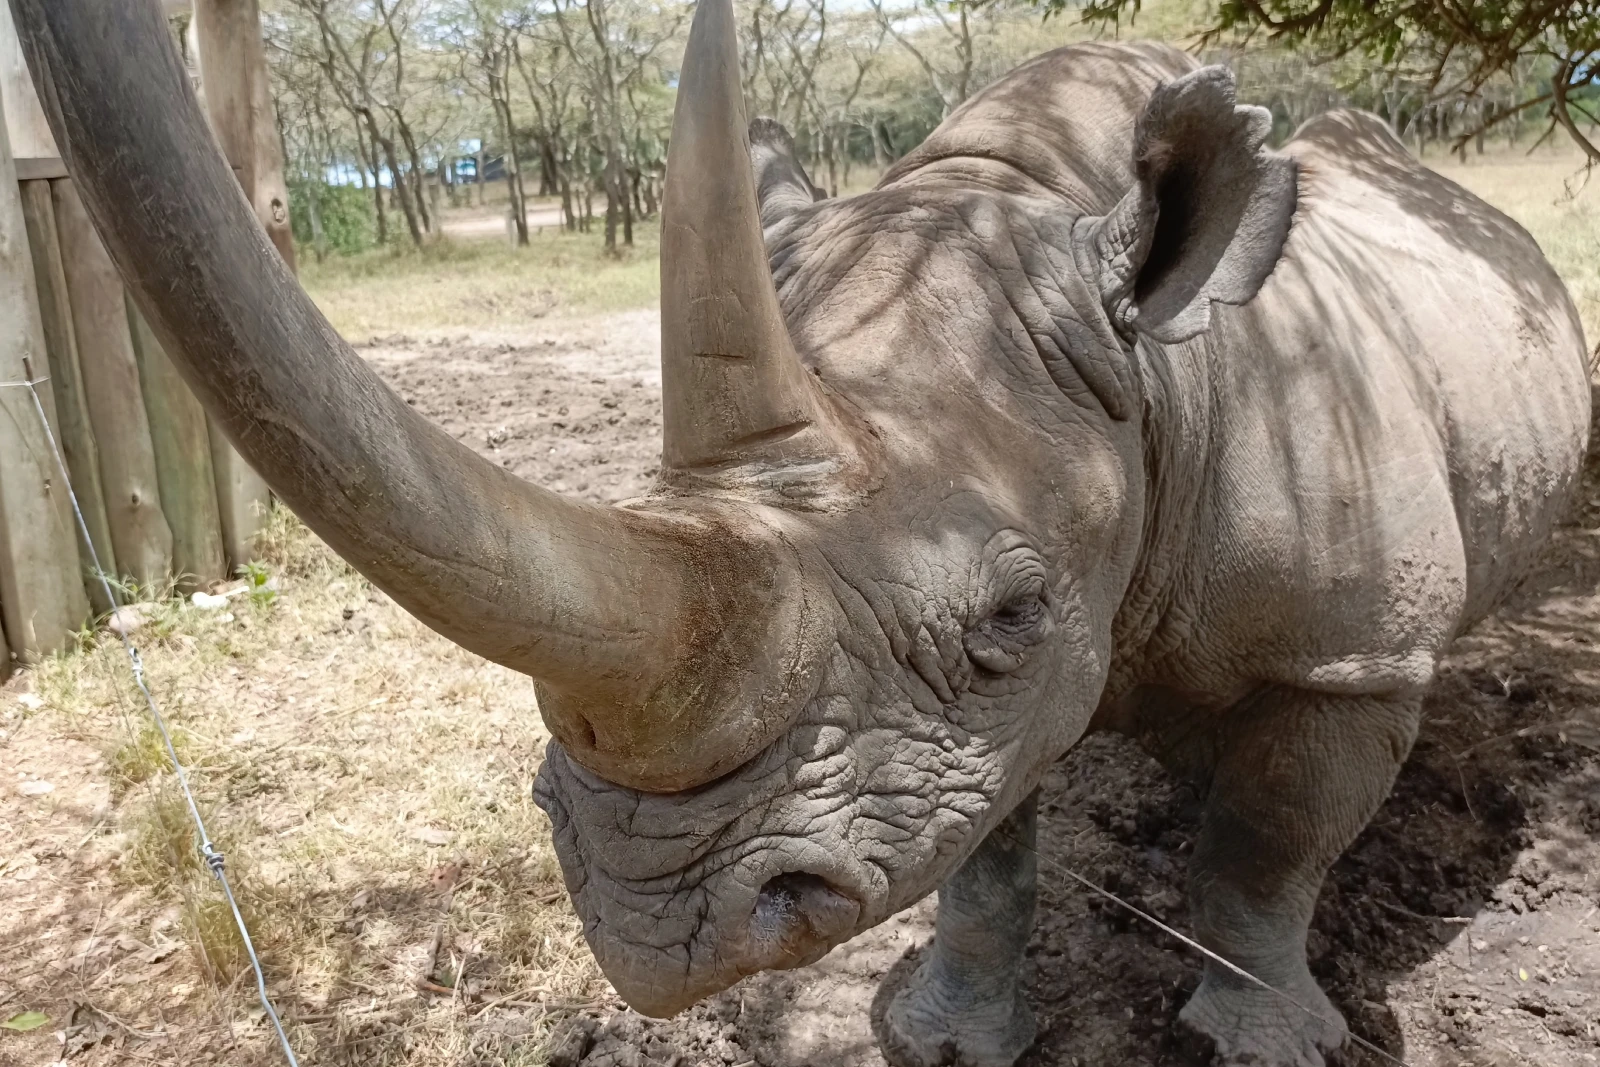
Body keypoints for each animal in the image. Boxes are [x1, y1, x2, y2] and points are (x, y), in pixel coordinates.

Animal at [14, 0, 1589, 1064]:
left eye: (1009, 612)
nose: (655, 933)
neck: (1153, 380)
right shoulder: (976, 708)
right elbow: (986, 845)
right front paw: (947, 1034)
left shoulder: (1343, 651)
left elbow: (1275, 835)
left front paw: (1261, 1039)